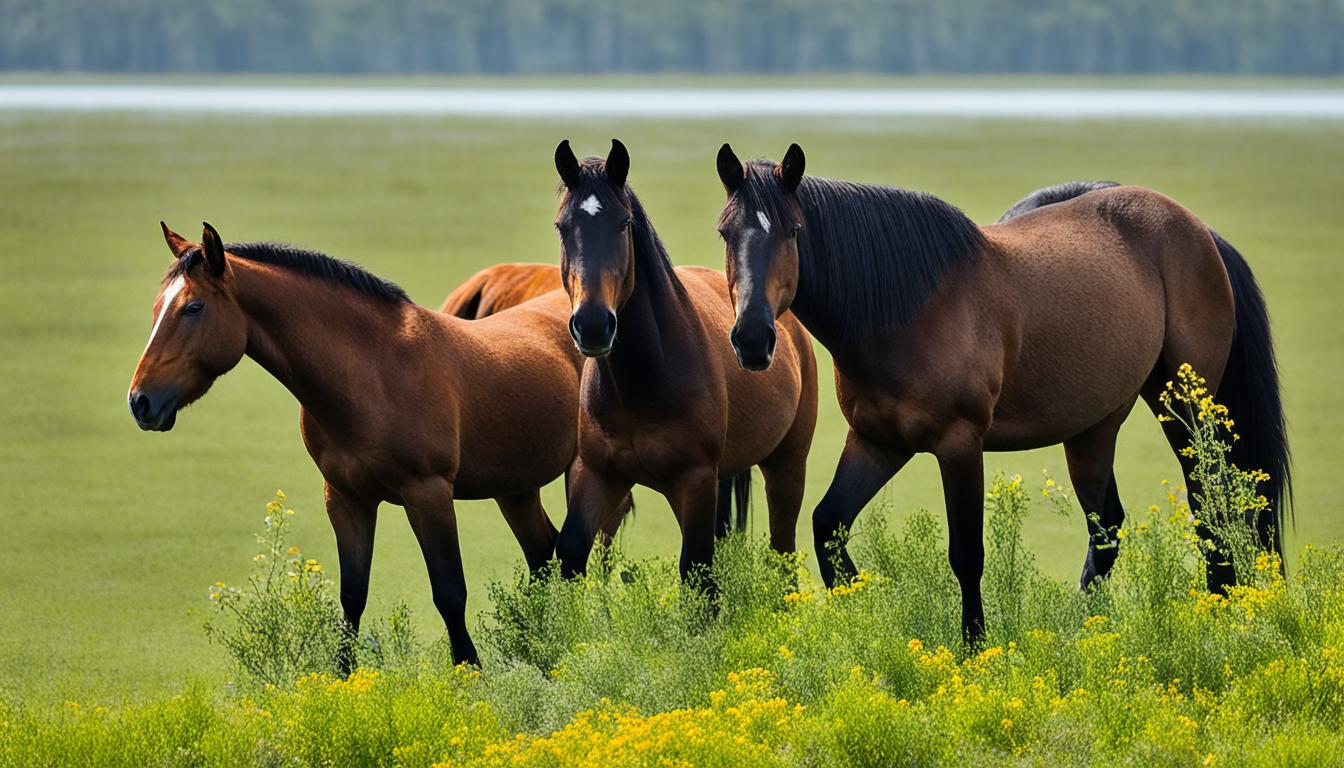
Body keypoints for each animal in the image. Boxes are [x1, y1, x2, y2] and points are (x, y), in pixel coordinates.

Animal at [127, 221, 599, 667]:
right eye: (156, 308)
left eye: (194, 307)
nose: (140, 401)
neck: (374, 373)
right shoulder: (346, 499)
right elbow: (352, 596)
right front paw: (342, 678)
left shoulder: (428, 495)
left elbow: (449, 592)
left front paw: (470, 672)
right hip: (516, 489)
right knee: (544, 556)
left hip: (583, 474)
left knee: (573, 557)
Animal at [545, 139, 817, 583]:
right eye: (562, 226)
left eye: (623, 224)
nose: (593, 324)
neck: (645, 381)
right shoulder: (597, 474)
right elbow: (570, 551)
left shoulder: (694, 481)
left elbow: (697, 569)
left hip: (786, 465)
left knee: (783, 550)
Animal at [715, 143, 1290, 642]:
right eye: (726, 231)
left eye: (793, 230)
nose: (752, 338)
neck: (906, 309)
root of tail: (1200, 231)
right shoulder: (878, 441)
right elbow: (828, 526)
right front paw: (865, 613)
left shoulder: (959, 444)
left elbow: (967, 554)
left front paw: (974, 646)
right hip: (1095, 427)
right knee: (1106, 526)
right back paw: (1087, 628)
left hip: (1185, 406)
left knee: (1209, 501)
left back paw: (1219, 608)